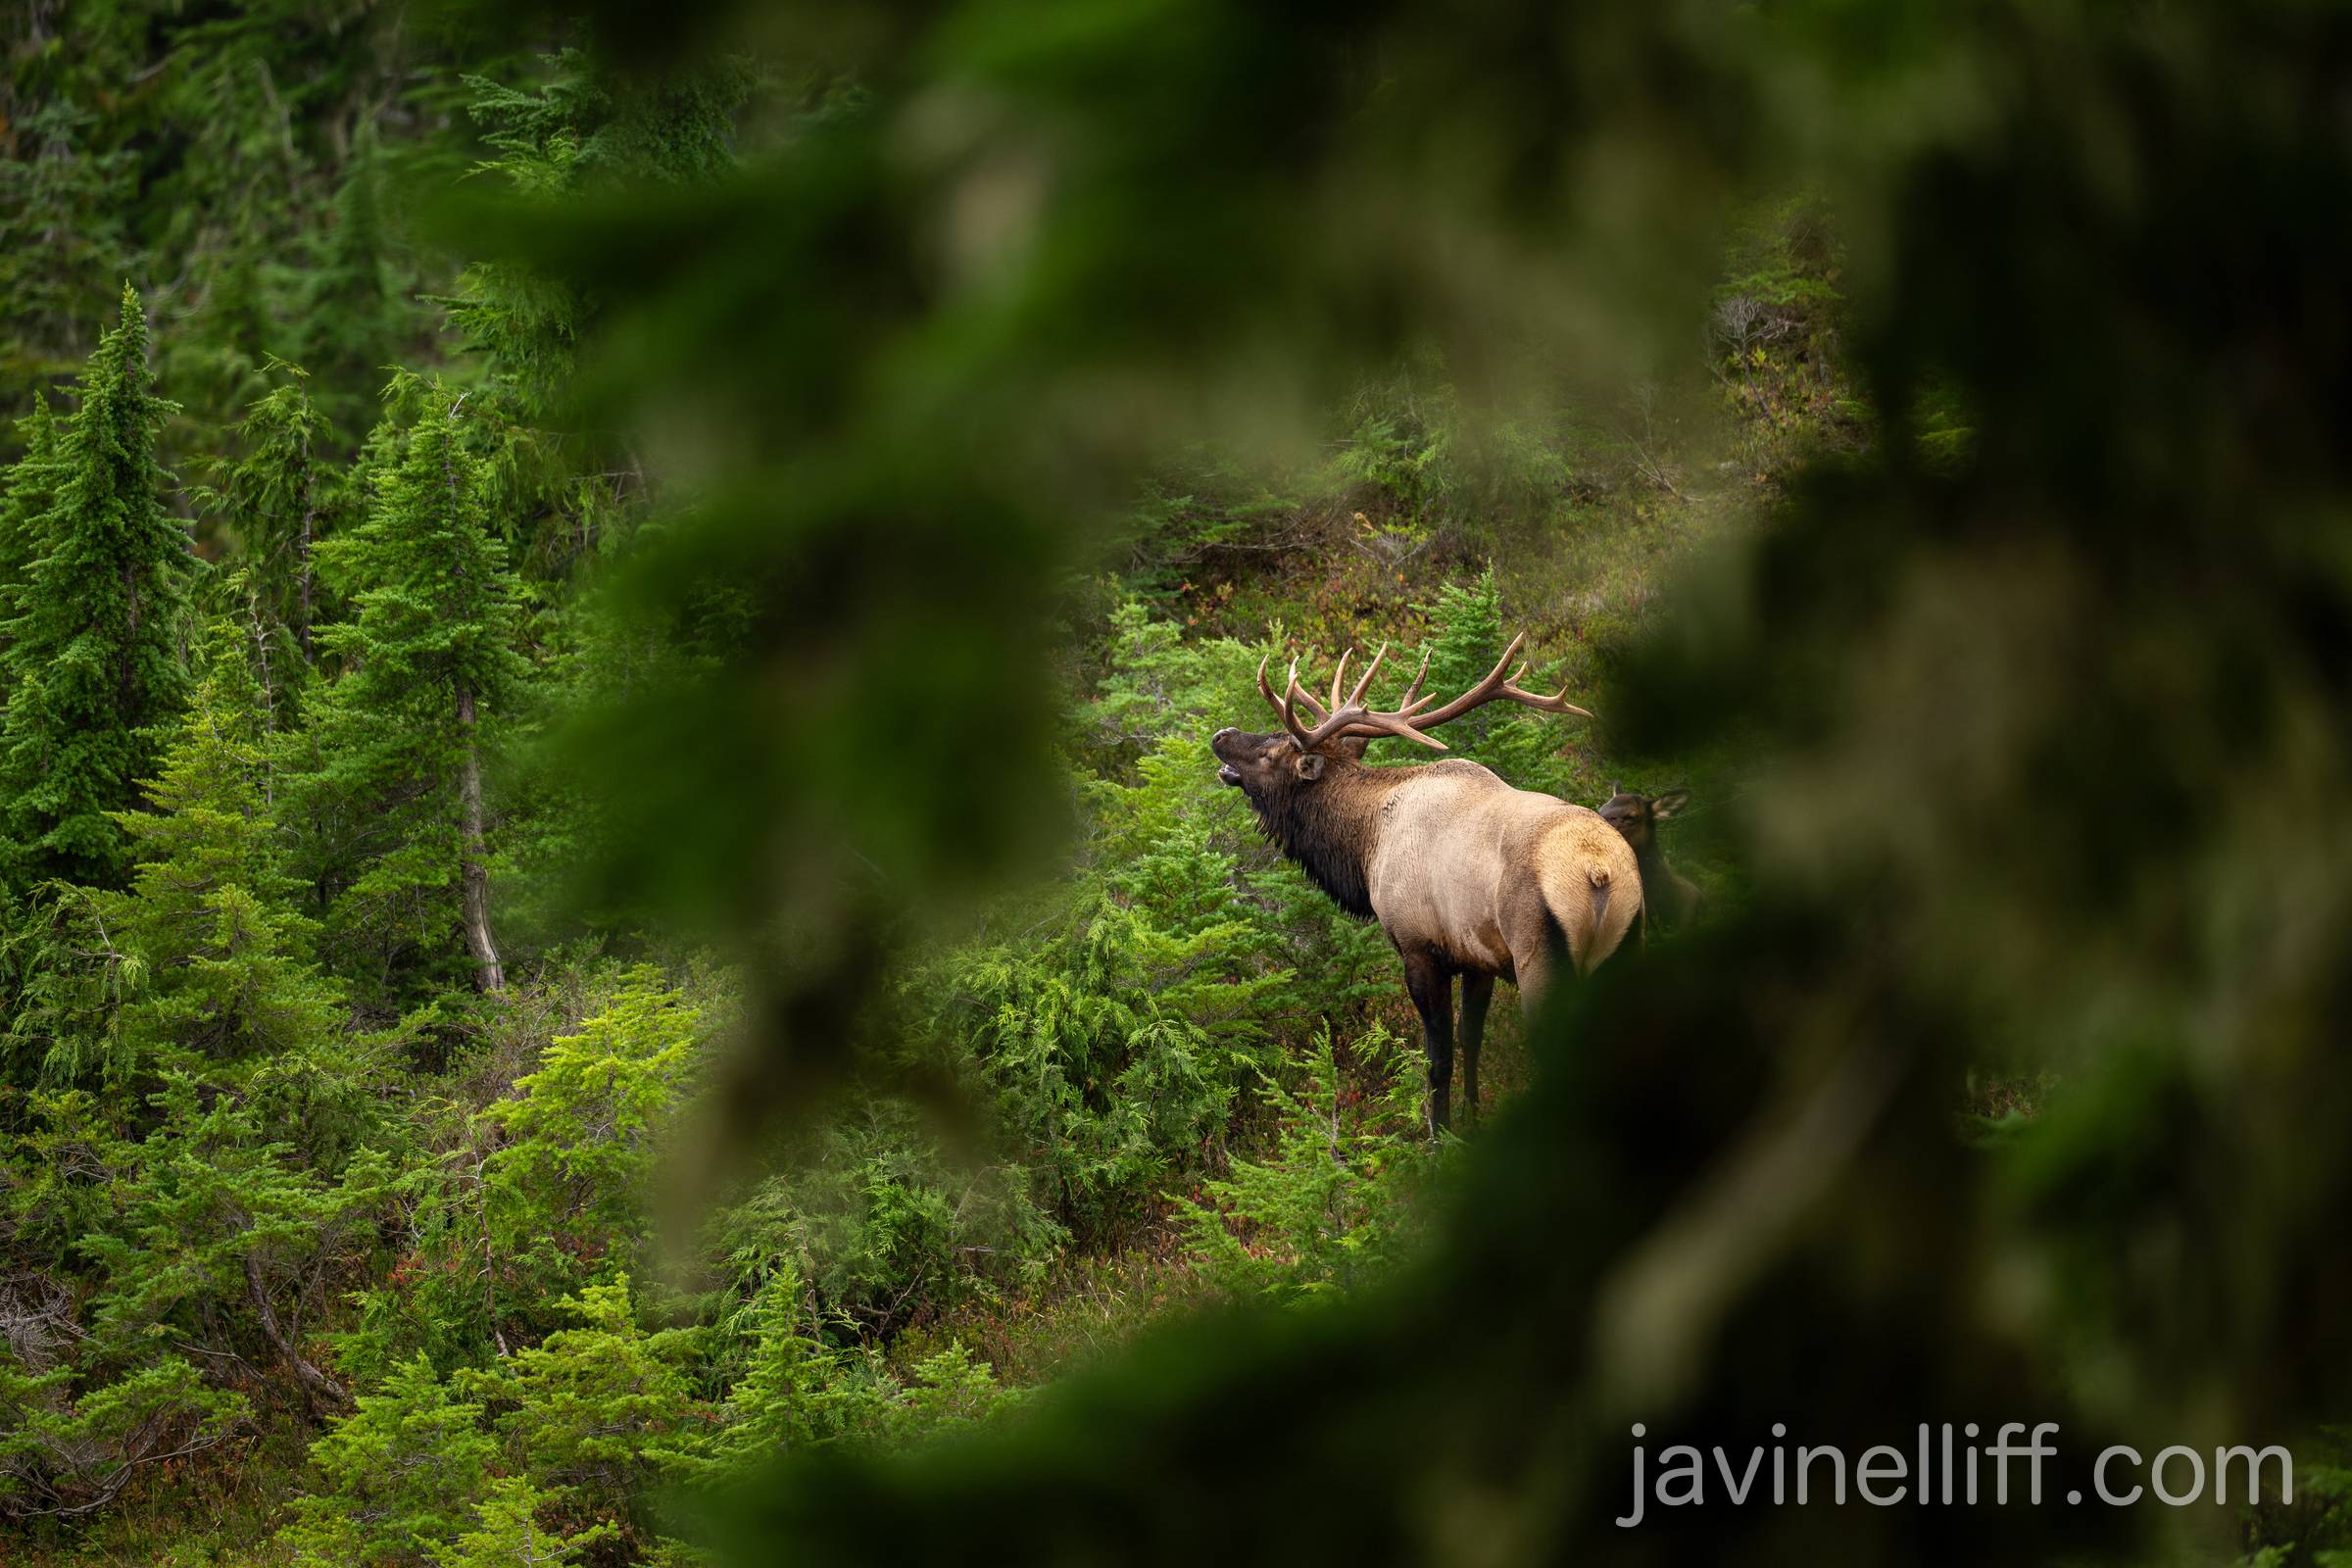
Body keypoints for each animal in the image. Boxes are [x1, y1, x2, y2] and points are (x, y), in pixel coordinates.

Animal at [1211, 635, 1640, 1131]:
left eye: (1273, 749)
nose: (1220, 735)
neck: (1366, 848)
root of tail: (1599, 872)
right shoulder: (1478, 956)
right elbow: (1471, 1043)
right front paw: (1472, 1122)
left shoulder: (1419, 946)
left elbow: (1438, 1059)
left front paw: (1440, 1133)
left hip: (1541, 959)